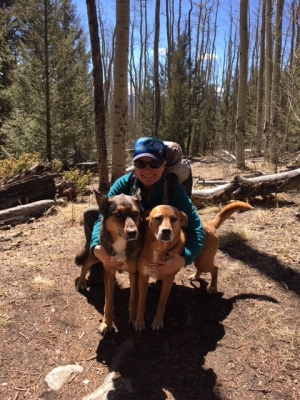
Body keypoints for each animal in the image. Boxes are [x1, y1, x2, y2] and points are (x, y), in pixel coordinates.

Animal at [76, 189, 144, 332]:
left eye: (136, 214)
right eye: (118, 214)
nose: (132, 233)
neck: (120, 243)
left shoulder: (133, 274)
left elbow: (133, 298)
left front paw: (133, 316)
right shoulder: (109, 273)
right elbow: (108, 302)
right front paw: (106, 323)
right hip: (96, 256)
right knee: (85, 264)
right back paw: (81, 282)